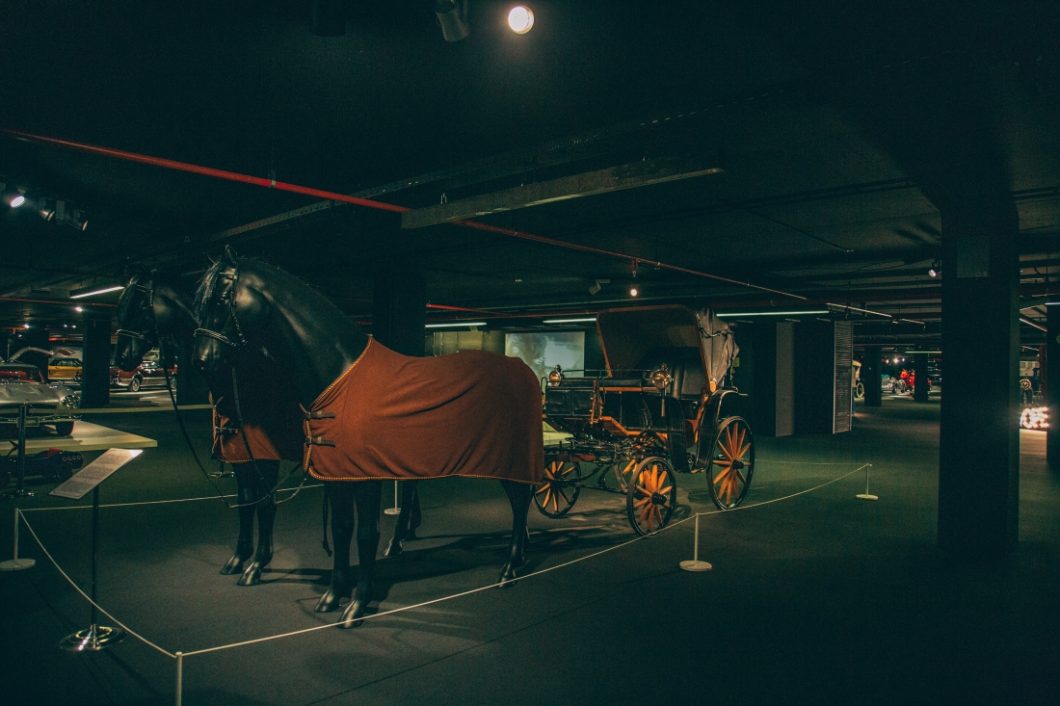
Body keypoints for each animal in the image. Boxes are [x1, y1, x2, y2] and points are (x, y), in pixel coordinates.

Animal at [113, 267, 301, 585]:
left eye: (139, 304)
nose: (121, 358)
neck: (246, 375)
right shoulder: (238, 452)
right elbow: (246, 501)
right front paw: (238, 558)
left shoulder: (265, 455)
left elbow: (265, 503)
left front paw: (258, 564)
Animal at [190, 250, 542, 623]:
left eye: (221, 299)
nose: (201, 360)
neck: (338, 374)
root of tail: (525, 371)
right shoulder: (335, 475)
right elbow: (340, 529)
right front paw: (332, 595)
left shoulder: (363, 475)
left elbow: (364, 533)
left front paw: (357, 605)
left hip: (508, 459)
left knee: (519, 502)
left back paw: (509, 569)